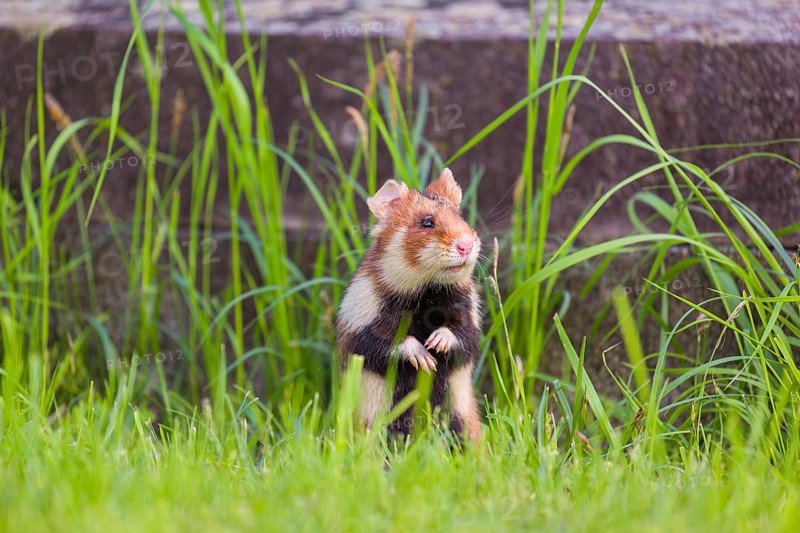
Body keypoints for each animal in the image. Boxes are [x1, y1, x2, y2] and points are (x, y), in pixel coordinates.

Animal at [335, 168, 482, 443]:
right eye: (427, 222)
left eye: (461, 216)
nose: (467, 245)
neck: (426, 291)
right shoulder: (360, 328)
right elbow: (387, 342)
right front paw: (425, 358)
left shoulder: (469, 319)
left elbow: (461, 335)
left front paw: (436, 343)